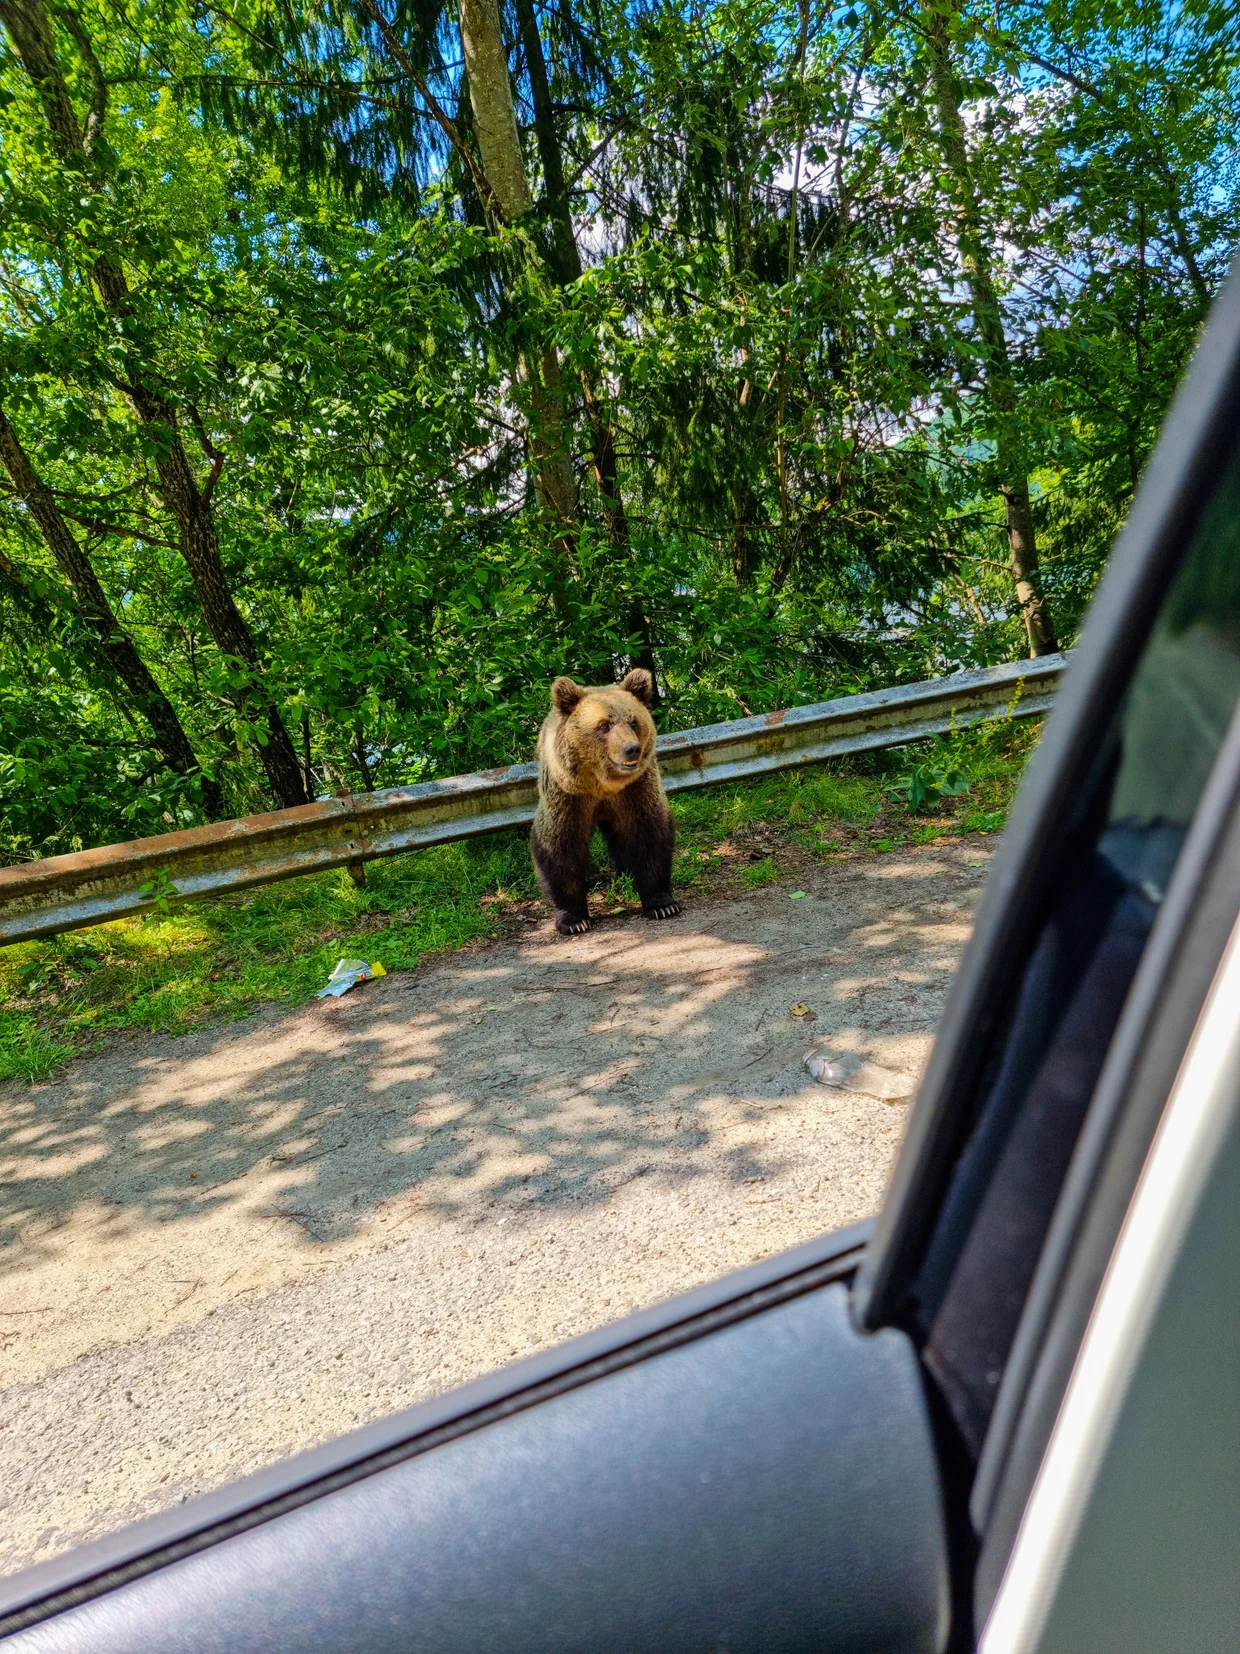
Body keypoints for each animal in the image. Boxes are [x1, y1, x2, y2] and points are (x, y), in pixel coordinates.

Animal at [530, 668, 683, 936]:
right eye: (604, 725)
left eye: (633, 721)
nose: (631, 748)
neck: (602, 785)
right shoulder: (568, 797)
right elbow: (559, 847)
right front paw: (574, 920)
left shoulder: (636, 791)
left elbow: (649, 834)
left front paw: (663, 905)